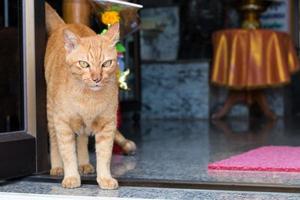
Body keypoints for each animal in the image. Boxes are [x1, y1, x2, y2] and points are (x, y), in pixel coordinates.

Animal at [44, 2, 136, 188]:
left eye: (106, 63)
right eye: (84, 64)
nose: (96, 78)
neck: (88, 99)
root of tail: (65, 25)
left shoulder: (107, 124)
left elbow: (104, 155)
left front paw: (105, 178)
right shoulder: (62, 123)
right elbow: (67, 153)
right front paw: (71, 177)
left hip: (82, 125)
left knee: (82, 139)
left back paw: (85, 163)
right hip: (51, 113)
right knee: (54, 141)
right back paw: (57, 167)